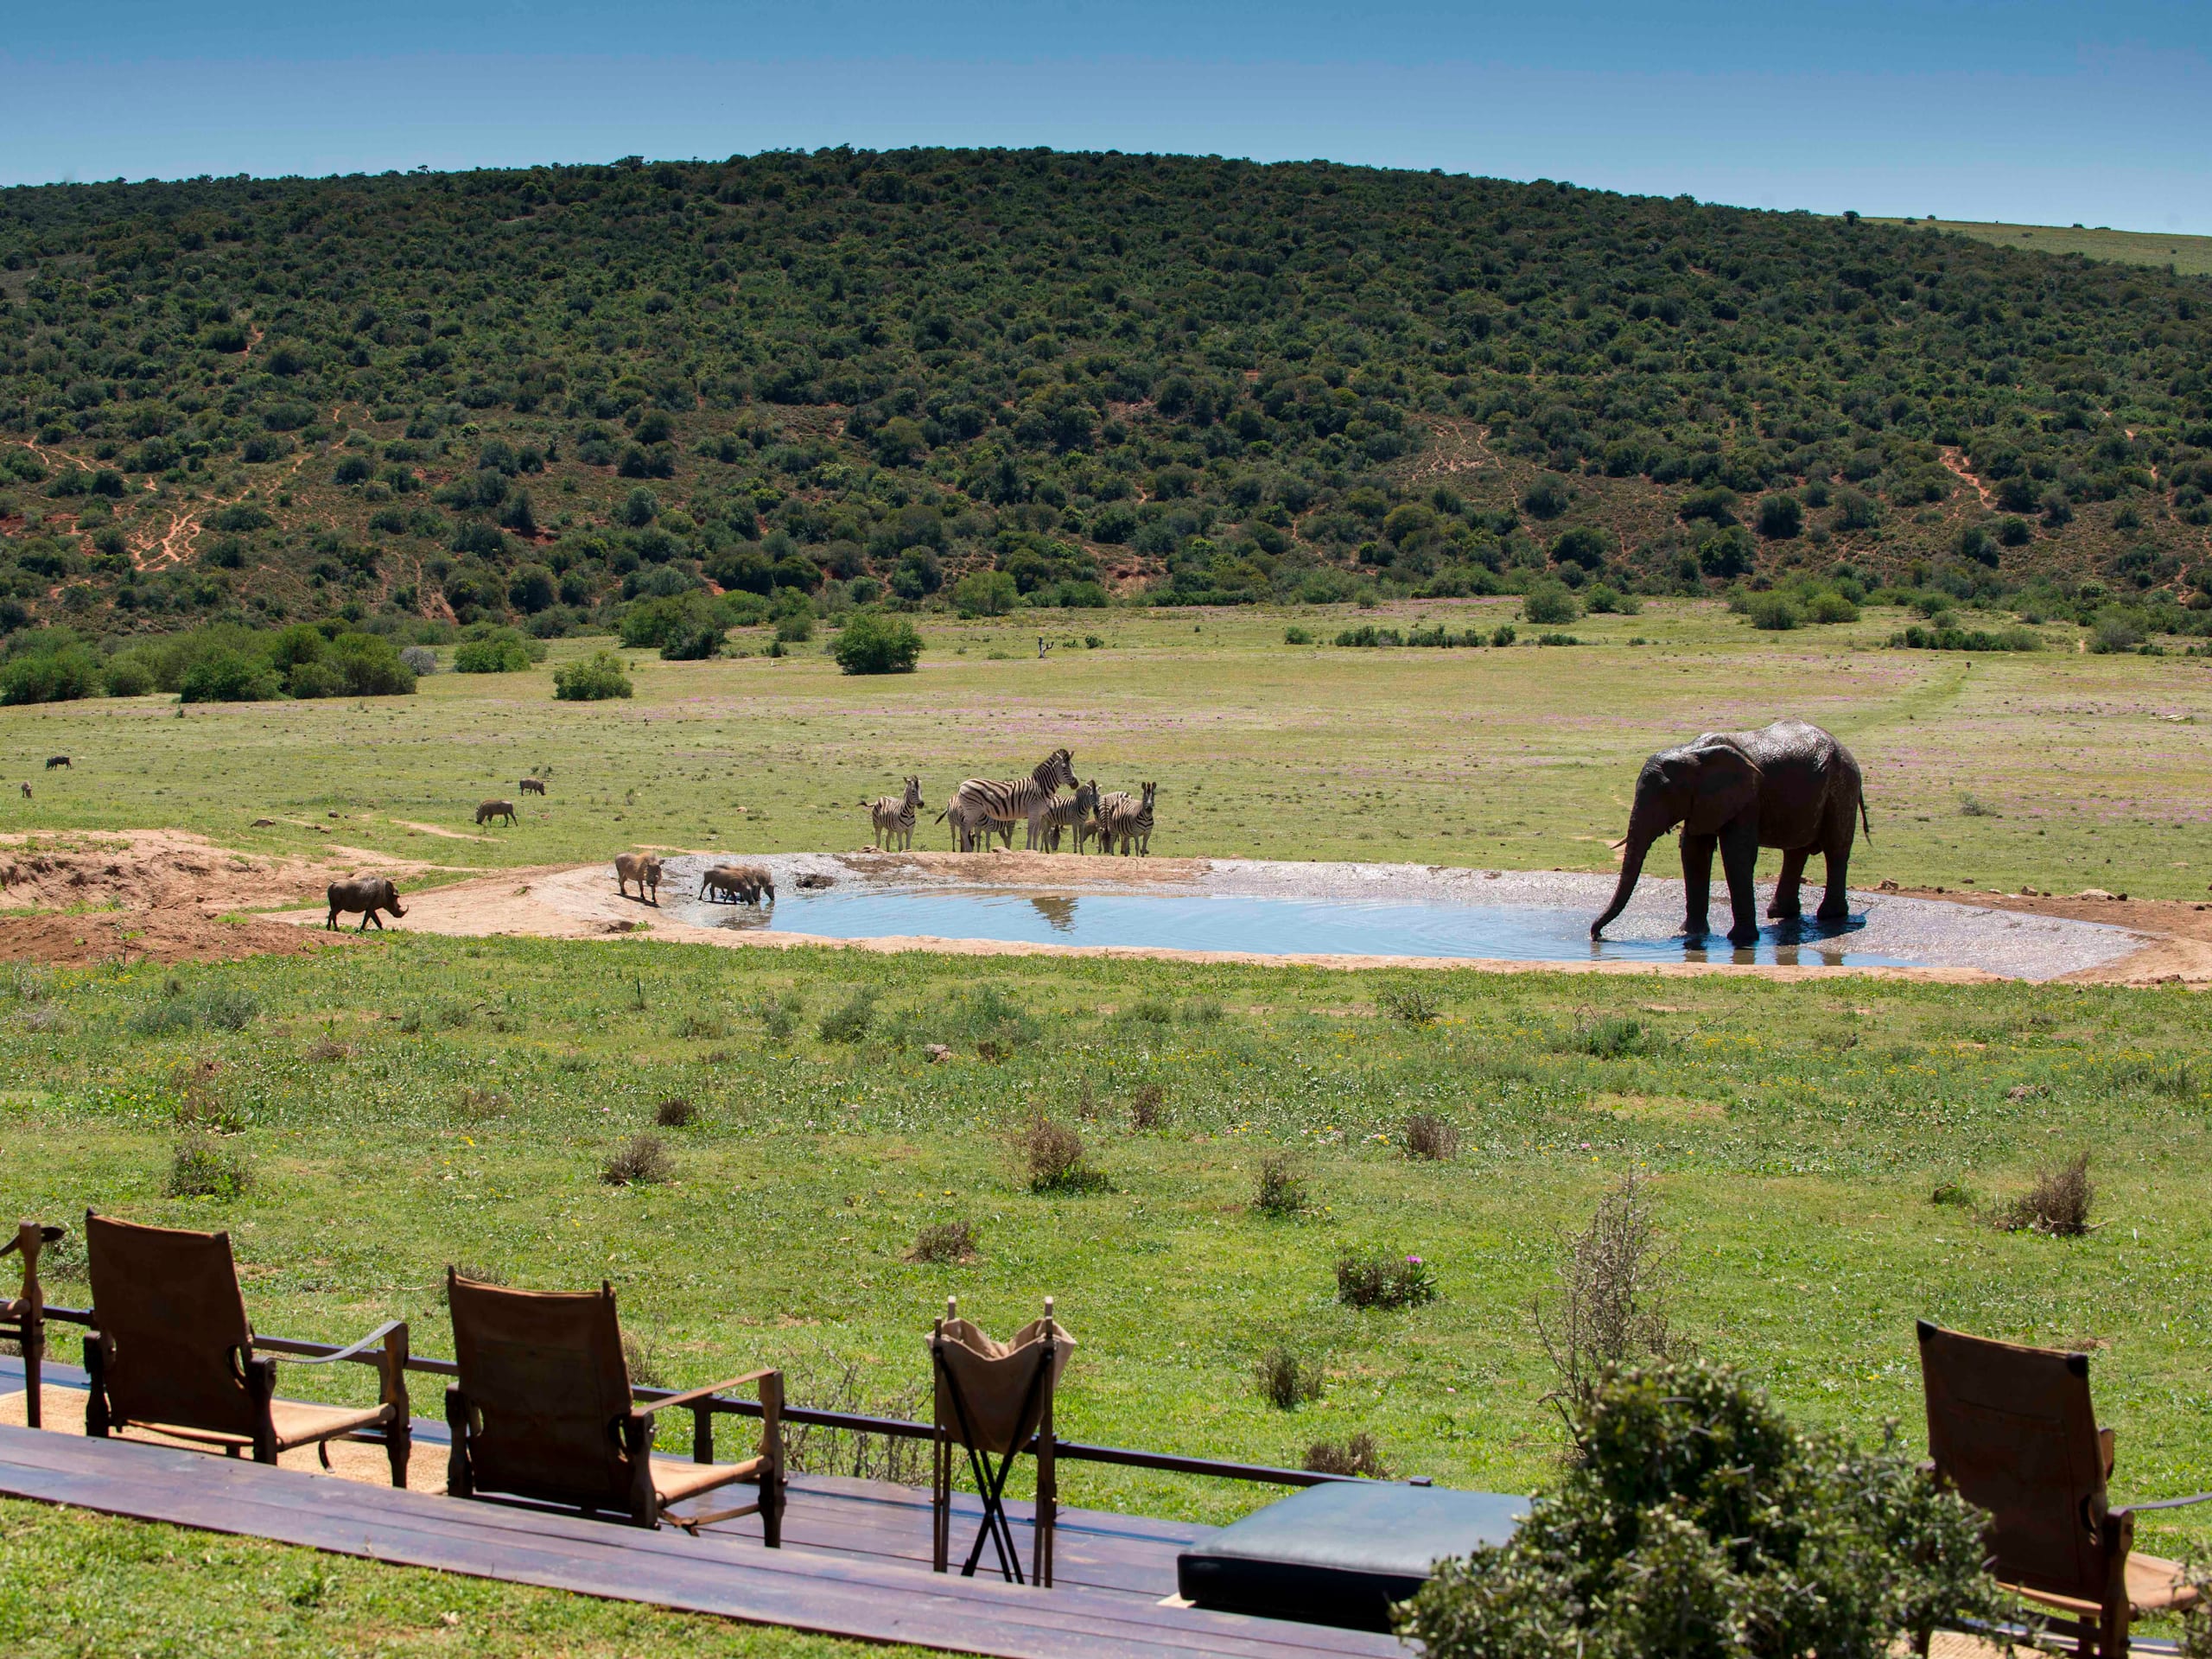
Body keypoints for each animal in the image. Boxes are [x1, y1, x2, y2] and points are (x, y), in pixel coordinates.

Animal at [1591, 718, 1870, 948]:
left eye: (1667, 796)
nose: (1596, 935)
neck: (1693, 751)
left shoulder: (1747, 798)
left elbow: (1736, 853)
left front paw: (1741, 940)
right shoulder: (1705, 800)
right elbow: (1694, 852)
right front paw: (1689, 935)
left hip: (1842, 787)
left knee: (1836, 849)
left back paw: (1830, 916)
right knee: (1795, 851)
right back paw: (1781, 914)